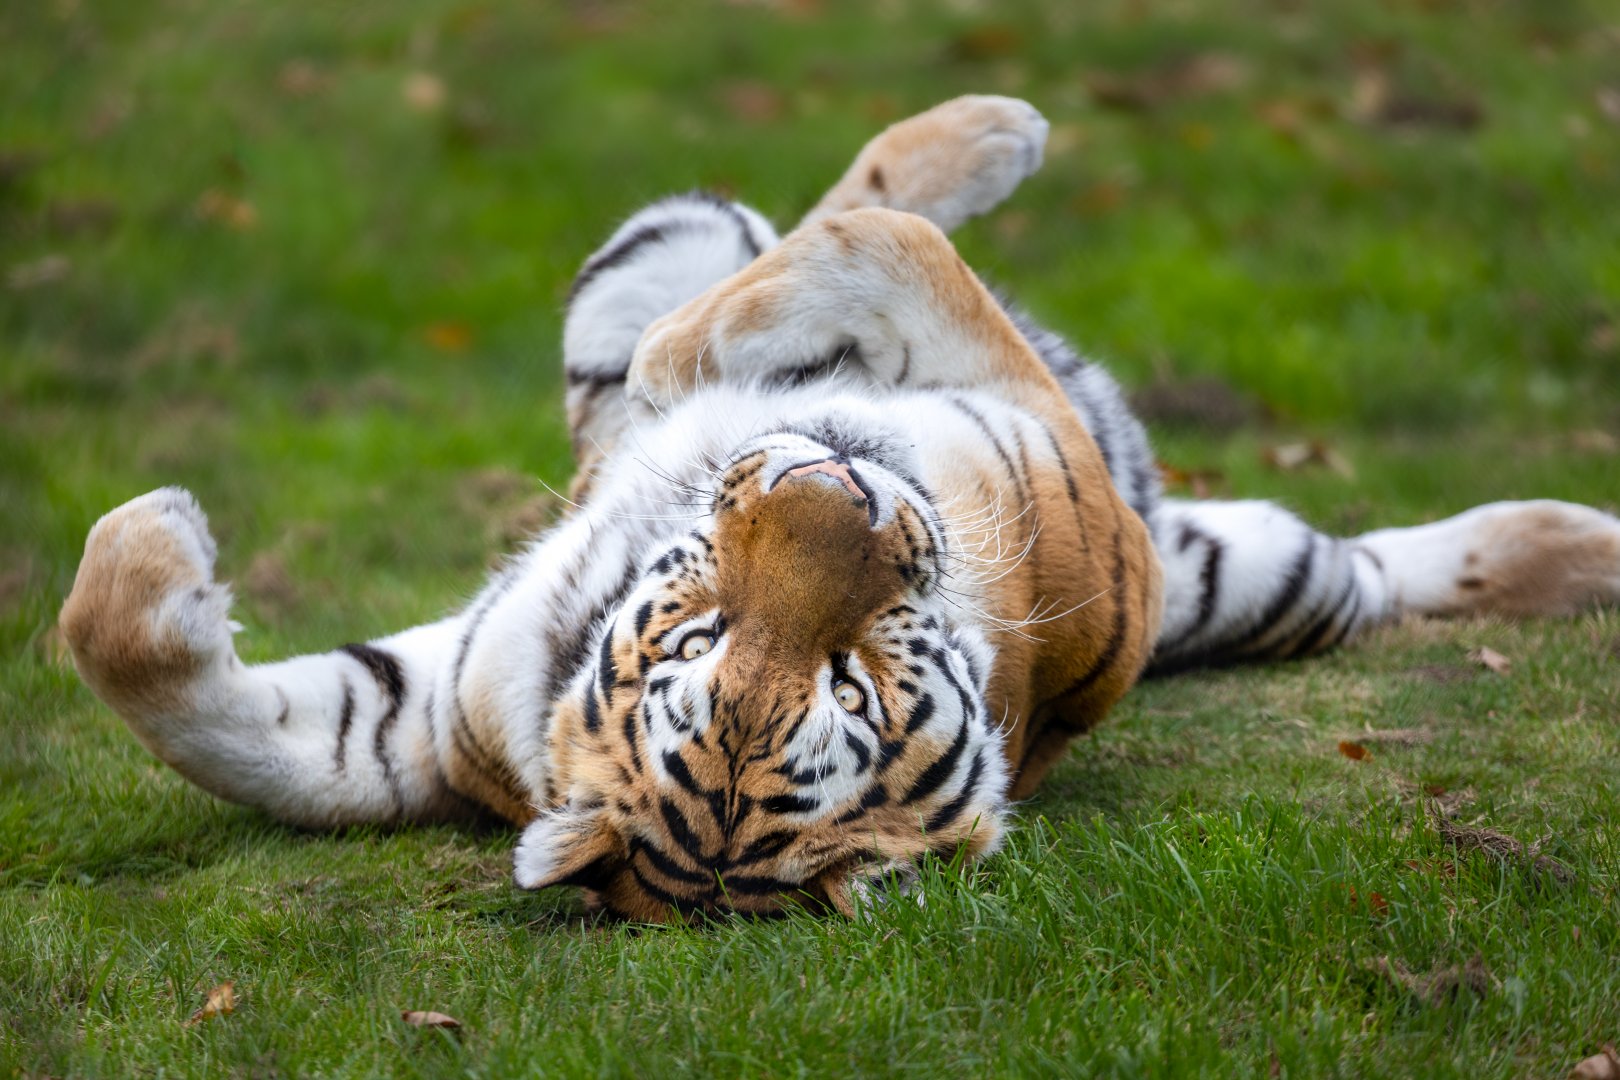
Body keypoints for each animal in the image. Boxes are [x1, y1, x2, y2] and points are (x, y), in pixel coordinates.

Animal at [60, 96, 1620, 922]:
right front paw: (163, 547)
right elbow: (193, 694)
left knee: (798, 221)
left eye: (850, 683)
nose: (829, 492)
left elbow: (865, 242)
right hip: (1230, 560)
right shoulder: (430, 720)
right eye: (701, 647)